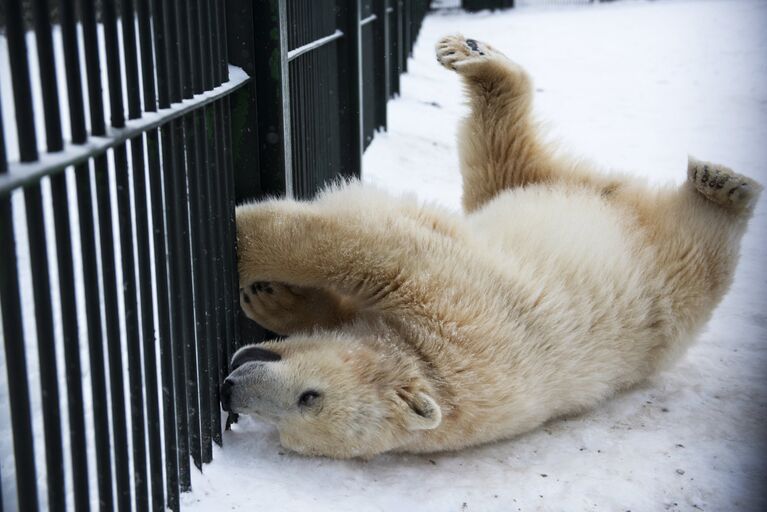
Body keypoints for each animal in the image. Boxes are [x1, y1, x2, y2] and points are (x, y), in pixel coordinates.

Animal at [224, 36, 760, 460]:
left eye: (307, 401)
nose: (230, 389)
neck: (431, 370)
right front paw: (273, 299)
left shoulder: (454, 312)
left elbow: (372, 245)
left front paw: (246, 246)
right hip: (549, 190)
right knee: (505, 160)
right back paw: (471, 54)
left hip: (676, 266)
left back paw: (723, 188)